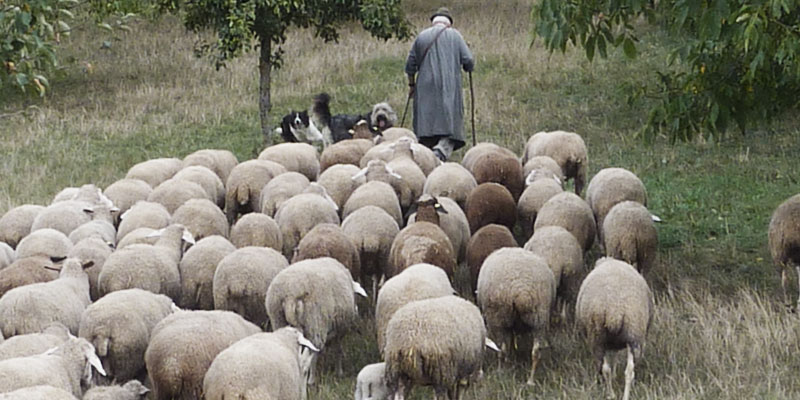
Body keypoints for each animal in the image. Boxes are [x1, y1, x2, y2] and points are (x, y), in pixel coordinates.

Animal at [476, 248, 555, 385]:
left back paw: (501, 370)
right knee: (535, 351)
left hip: (498, 316)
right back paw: (530, 380)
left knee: (501, 349)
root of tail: (521, 292)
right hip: (539, 317)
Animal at [576, 257, 653, 400]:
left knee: (606, 369)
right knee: (628, 371)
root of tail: (615, 309)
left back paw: (611, 394)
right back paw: (623, 395)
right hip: (633, 332)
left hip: (599, 337)